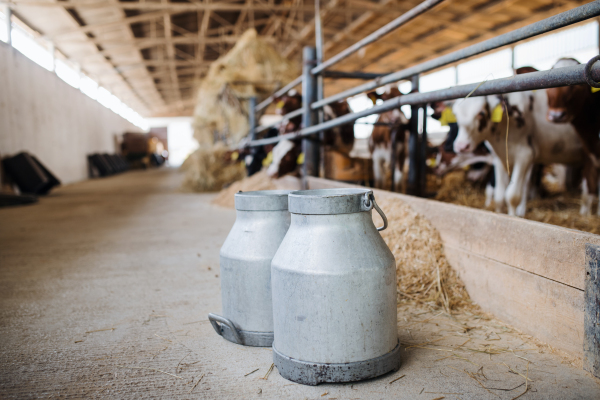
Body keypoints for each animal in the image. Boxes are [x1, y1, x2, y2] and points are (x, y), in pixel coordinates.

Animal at [454, 89, 580, 217]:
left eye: (482, 113)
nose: (461, 146)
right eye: (456, 115)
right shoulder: (500, 158)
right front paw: (499, 213)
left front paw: (512, 216)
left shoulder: (524, 155)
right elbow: (499, 195)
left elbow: (512, 195)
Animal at [548, 57, 600, 214]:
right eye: (548, 86)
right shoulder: (589, 154)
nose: (556, 115)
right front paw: (585, 214)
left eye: (579, 86)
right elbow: (589, 188)